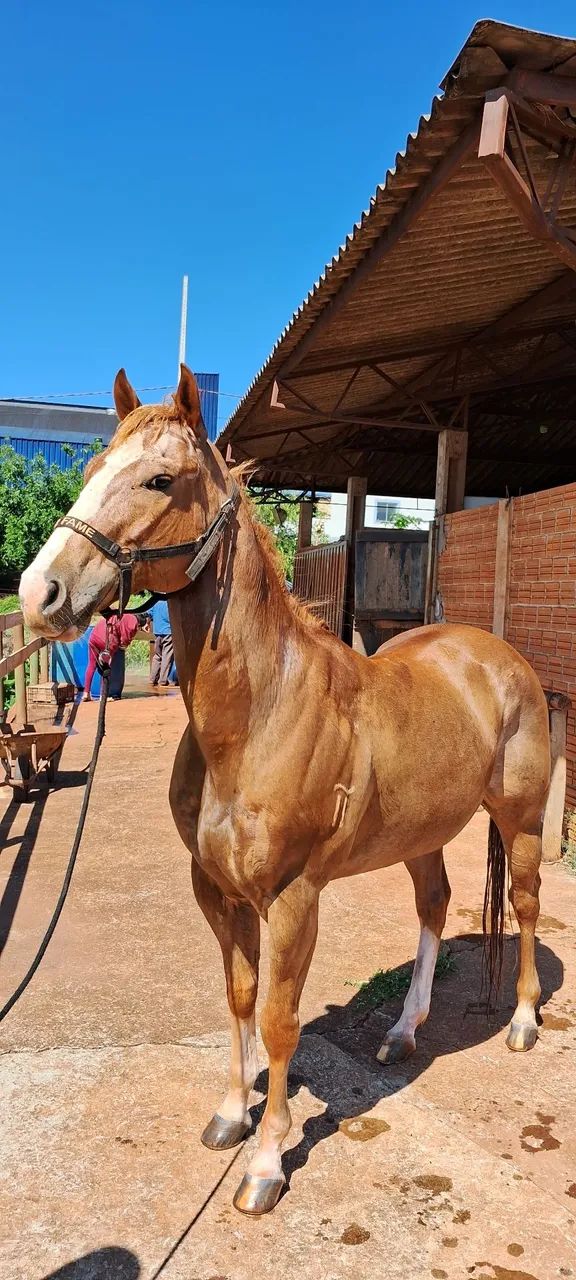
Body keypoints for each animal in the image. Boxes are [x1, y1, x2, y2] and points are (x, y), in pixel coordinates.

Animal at [20, 365, 551, 1217]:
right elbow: (239, 997)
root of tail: (494, 655)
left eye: (160, 479)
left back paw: (526, 1022)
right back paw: (403, 1032)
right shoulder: (216, 890)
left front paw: (266, 1164)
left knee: (527, 904)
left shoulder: (293, 897)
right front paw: (231, 1116)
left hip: (522, 817)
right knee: (434, 907)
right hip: (423, 833)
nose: (42, 593)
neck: (259, 713)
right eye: (92, 468)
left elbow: (277, 1020)